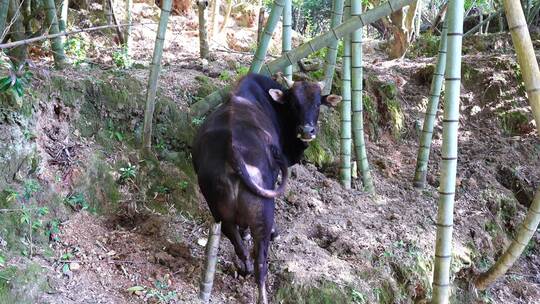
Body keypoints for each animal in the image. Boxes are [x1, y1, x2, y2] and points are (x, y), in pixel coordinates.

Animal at [192, 72, 340, 302]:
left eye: (317, 103)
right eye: (294, 103)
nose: (307, 130)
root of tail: (232, 150)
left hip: (219, 212)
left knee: (238, 244)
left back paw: (244, 266)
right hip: (263, 213)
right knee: (261, 261)